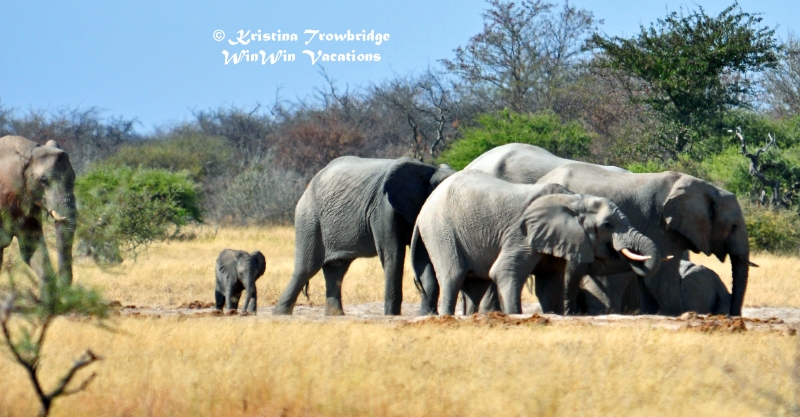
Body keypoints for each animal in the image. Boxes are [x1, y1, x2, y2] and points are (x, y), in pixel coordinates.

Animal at [272, 156, 454, 316]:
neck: (429, 172)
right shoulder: (383, 208)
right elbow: (393, 255)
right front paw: (391, 316)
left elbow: (424, 257)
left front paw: (428, 315)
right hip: (309, 218)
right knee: (307, 267)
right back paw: (280, 314)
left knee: (336, 270)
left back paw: (336, 316)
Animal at [410, 170, 661, 316]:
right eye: (608, 224)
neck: (573, 198)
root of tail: (423, 209)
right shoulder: (521, 234)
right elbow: (504, 272)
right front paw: (515, 315)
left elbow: (549, 282)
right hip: (441, 230)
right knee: (453, 275)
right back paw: (446, 317)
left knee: (475, 284)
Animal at [465, 143, 754, 316]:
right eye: (733, 226)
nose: (733, 317)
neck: (702, 185)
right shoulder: (661, 228)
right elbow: (660, 279)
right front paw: (672, 315)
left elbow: (649, 278)